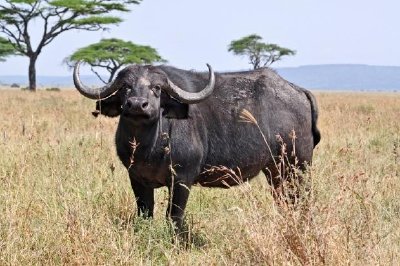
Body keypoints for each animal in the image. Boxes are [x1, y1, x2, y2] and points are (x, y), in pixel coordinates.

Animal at [73, 61, 320, 232]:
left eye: (156, 88)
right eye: (125, 87)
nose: (136, 105)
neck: (148, 147)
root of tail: (299, 91)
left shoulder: (182, 179)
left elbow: (174, 216)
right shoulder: (136, 178)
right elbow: (145, 213)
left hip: (296, 167)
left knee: (302, 200)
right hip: (275, 171)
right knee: (284, 201)